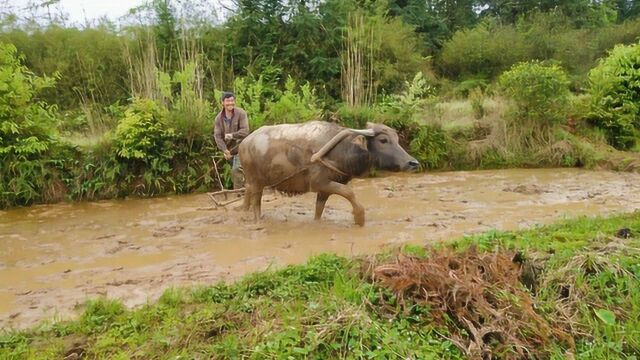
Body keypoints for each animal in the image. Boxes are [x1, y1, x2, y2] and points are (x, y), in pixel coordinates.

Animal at [238, 121, 418, 225]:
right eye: (383, 140)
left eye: (397, 140)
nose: (413, 163)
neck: (341, 150)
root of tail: (244, 143)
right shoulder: (319, 183)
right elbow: (349, 192)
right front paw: (359, 217)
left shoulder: (324, 189)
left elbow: (319, 209)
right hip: (256, 182)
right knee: (256, 202)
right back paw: (258, 221)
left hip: (253, 181)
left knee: (248, 194)